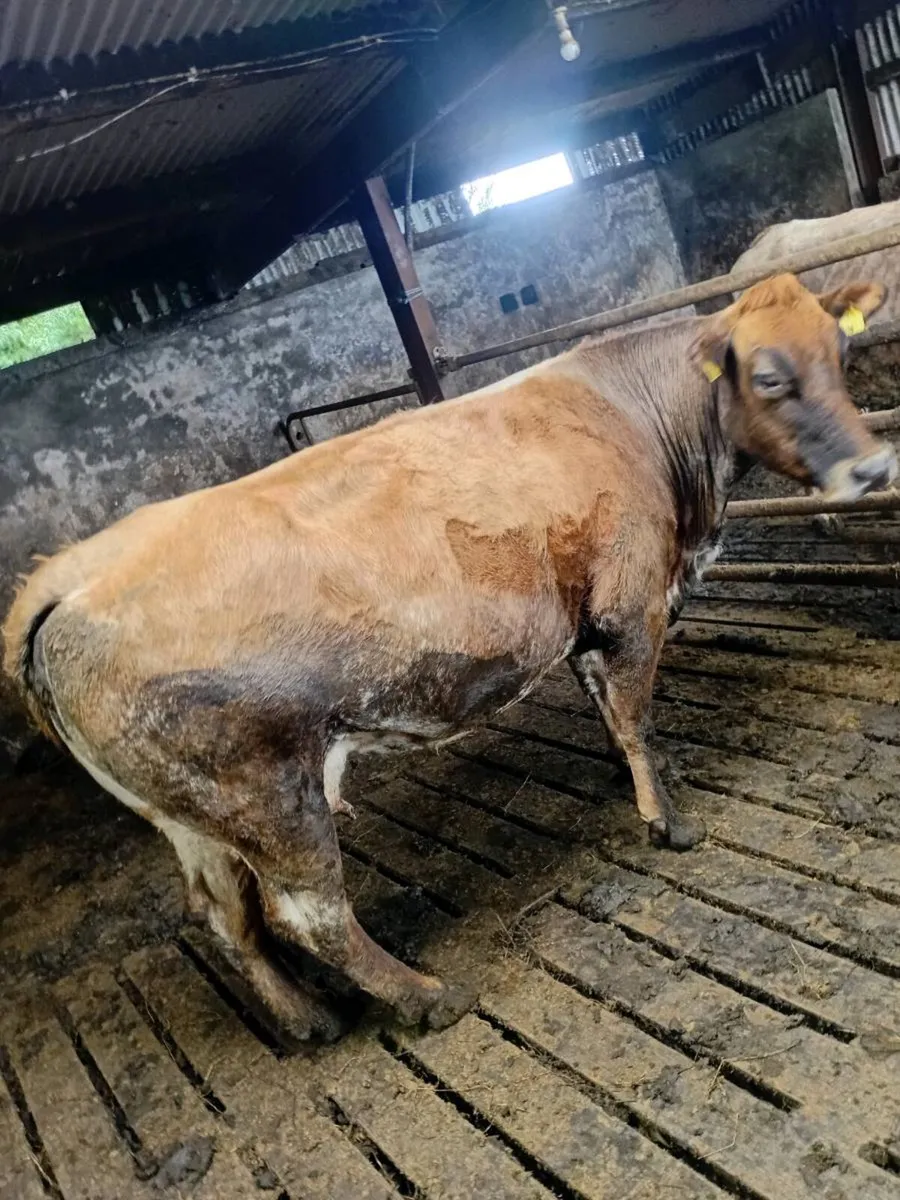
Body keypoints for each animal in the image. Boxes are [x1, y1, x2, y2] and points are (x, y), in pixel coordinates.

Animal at [3, 273, 896, 1040]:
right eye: (770, 377)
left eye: (840, 351)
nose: (873, 465)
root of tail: (69, 573)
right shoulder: (632, 604)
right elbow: (637, 713)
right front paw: (666, 821)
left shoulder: (585, 622)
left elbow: (611, 710)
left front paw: (636, 777)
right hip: (269, 793)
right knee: (310, 915)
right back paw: (427, 999)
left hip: (190, 814)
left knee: (225, 915)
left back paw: (305, 1018)